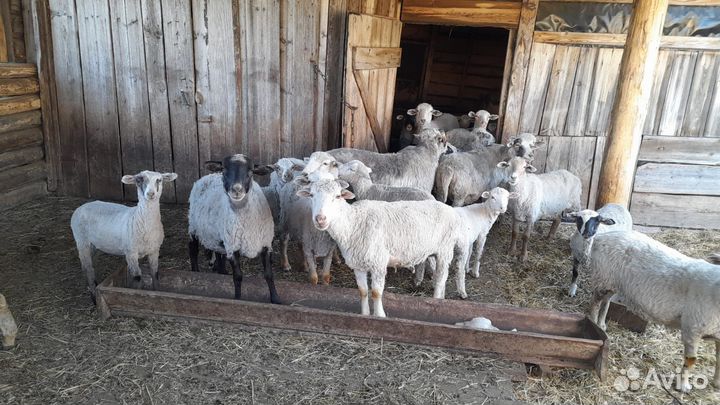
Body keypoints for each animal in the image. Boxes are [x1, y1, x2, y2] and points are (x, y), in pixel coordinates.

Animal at [70, 170, 178, 302]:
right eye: (139, 180)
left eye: (159, 180)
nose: (150, 194)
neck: (139, 220)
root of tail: (82, 206)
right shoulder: (131, 252)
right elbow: (137, 276)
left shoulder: (154, 250)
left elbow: (155, 273)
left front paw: (157, 293)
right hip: (82, 241)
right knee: (88, 268)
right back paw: (94, 298)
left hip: (94, 246)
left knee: (89, 265)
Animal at [188, 154, 279, 303]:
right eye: (224, 171)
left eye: (251, 172)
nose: (237, 190)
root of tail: (209, 175)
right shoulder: (233, 247)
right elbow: (238, 276)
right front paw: (238, 299)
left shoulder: (266, 244)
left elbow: (269, 275)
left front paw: (276, 299)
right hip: (193, 227)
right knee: (193, 250)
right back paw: (195, 271)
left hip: (218, 235)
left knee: (218, 253)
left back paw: (221, 270)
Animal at [296, 179, 466, 317]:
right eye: (311, 195)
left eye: (337, 196)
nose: (320, 219)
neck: (353, 223)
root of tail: (448, 208)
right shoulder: (357, 264)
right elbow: (363, 291)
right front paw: (365, 314)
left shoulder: (378, 262)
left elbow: (376, 293)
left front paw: (379, 316)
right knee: (441, 276)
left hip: (445, 249)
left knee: (441, 278)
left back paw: (437, 300)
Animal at [585, 230, 720, 391]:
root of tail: (602, 236)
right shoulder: (692, 330)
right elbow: (690, 361)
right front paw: (683, 386)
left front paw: (717, 383)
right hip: (603, 277)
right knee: (595, 303)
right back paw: (595, 324)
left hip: (611, 281)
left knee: (606, 300)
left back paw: (601, 324)